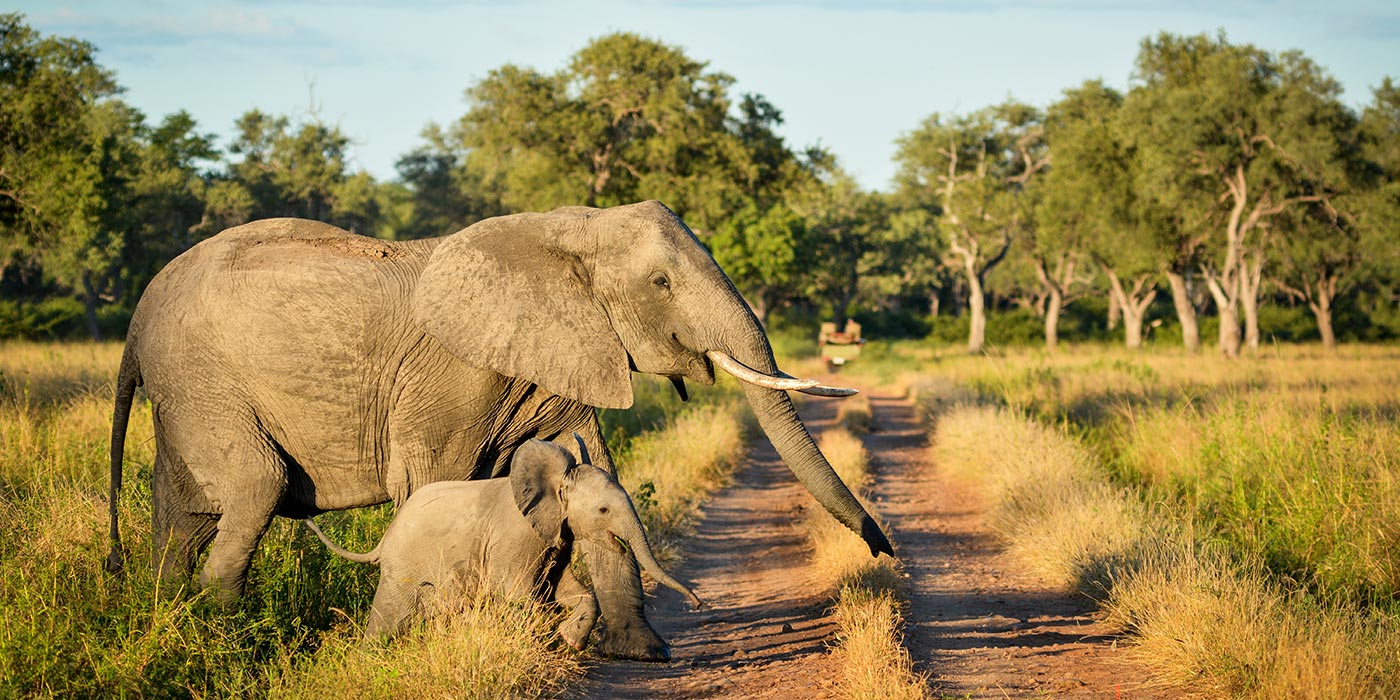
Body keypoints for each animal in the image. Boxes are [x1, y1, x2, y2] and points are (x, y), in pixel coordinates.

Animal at [302, 438, 702, 643]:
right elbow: (518, 594)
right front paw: (548, 639)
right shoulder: (516, 537)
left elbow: (565, 588)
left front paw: (570, 639)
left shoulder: (556, 537)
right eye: (603, 510)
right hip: (404, 566)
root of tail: (384, 539)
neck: (556, 482)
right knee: (389, 617)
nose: (697, 603)